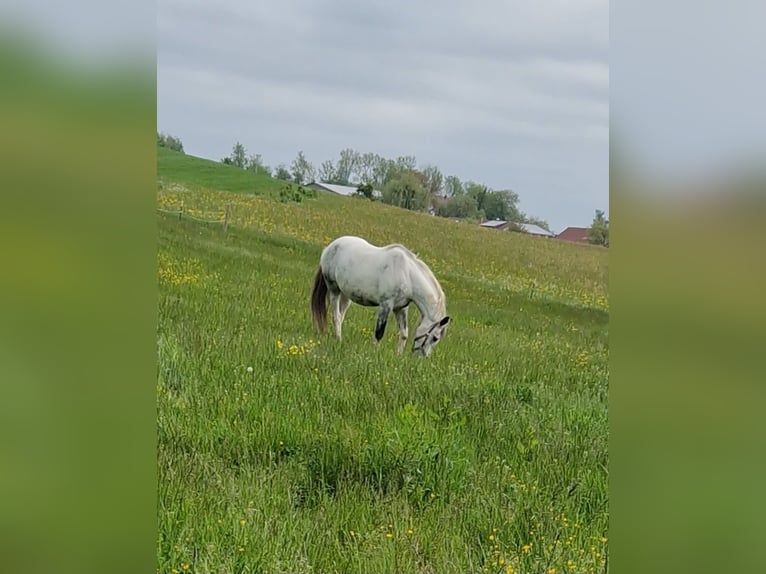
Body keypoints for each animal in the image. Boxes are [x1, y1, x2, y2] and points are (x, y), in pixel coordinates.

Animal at [310, 236, 450, 358]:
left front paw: (398, 355)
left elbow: (404, 333)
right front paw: (374, 354)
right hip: (334, 290)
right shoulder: (386, 305)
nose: (422, 358)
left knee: (341, 315)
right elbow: (379, 333)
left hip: (346, 296)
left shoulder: (401, 308)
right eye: (435, 338)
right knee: (336, 317)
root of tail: (329, 247)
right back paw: (338, 340)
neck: (407, 274)